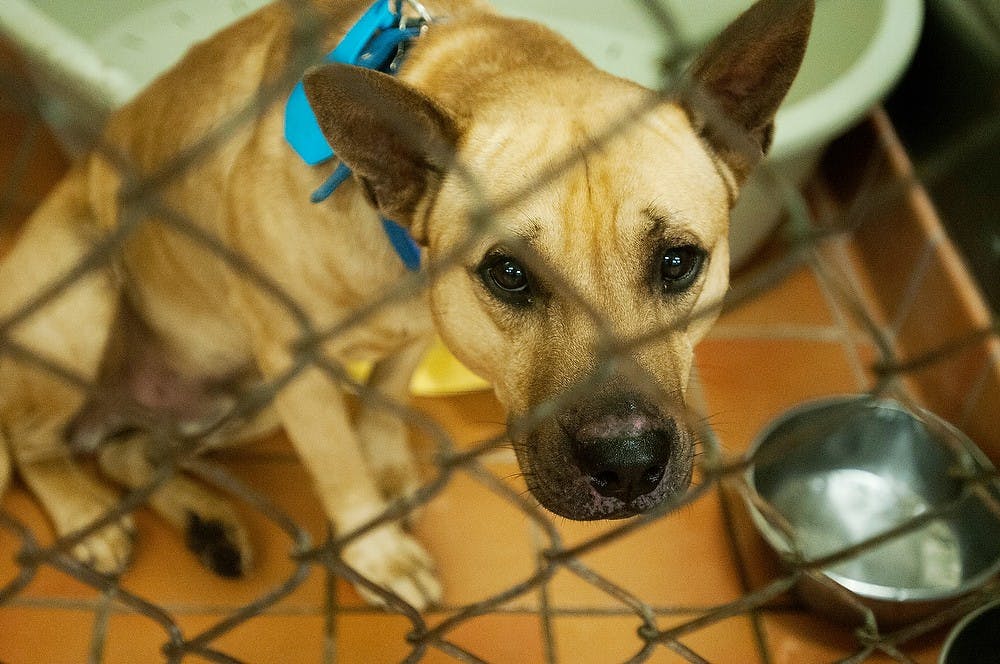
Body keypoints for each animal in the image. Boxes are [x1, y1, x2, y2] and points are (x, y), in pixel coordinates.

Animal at [0, 0, 812, 608]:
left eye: (678, 262)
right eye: (508, 273)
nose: (628, 464)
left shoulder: (415, 332)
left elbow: (385, 400)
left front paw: (390, 469)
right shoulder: (295, 363)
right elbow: (339, 468)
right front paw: (379, 552)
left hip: (242, 397)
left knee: (127, 448)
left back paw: (208, 521)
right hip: (88, 305)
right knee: (34, 442)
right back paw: (85, 518)